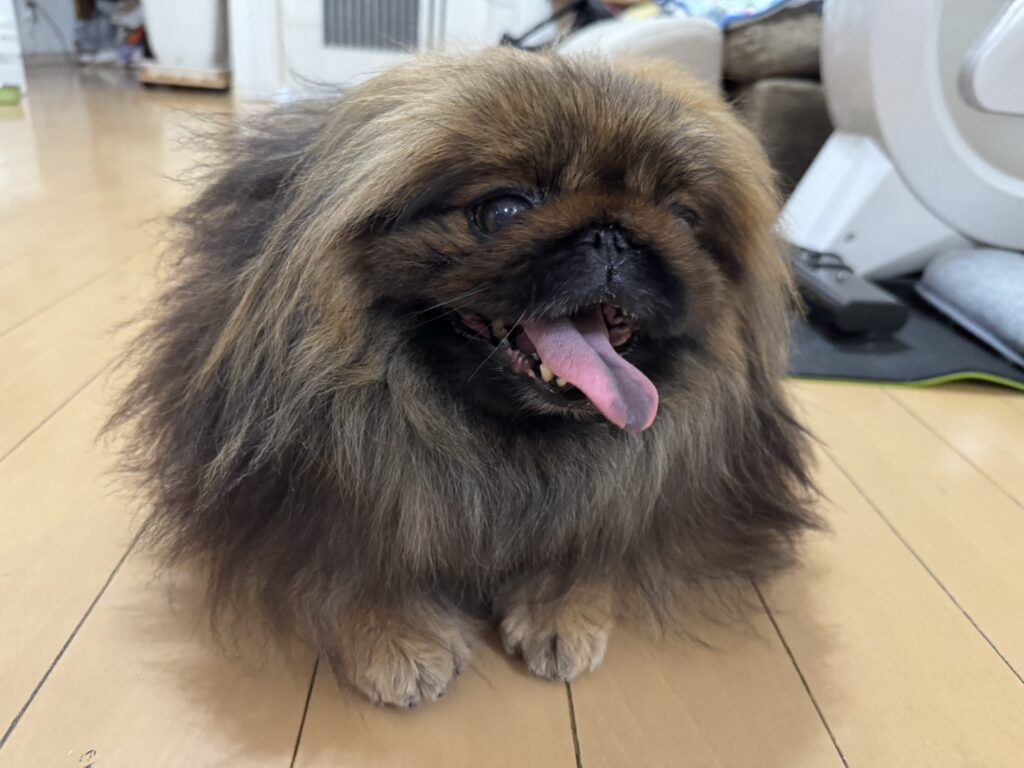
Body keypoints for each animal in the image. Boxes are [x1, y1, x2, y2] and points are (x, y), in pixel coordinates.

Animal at [111, 48, 818, 707]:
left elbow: (602, 538)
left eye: (682, 217)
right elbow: (347, 562)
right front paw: (393, 636)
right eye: (503, 210)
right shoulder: (319, 488)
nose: (613, 234)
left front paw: (563, 607)